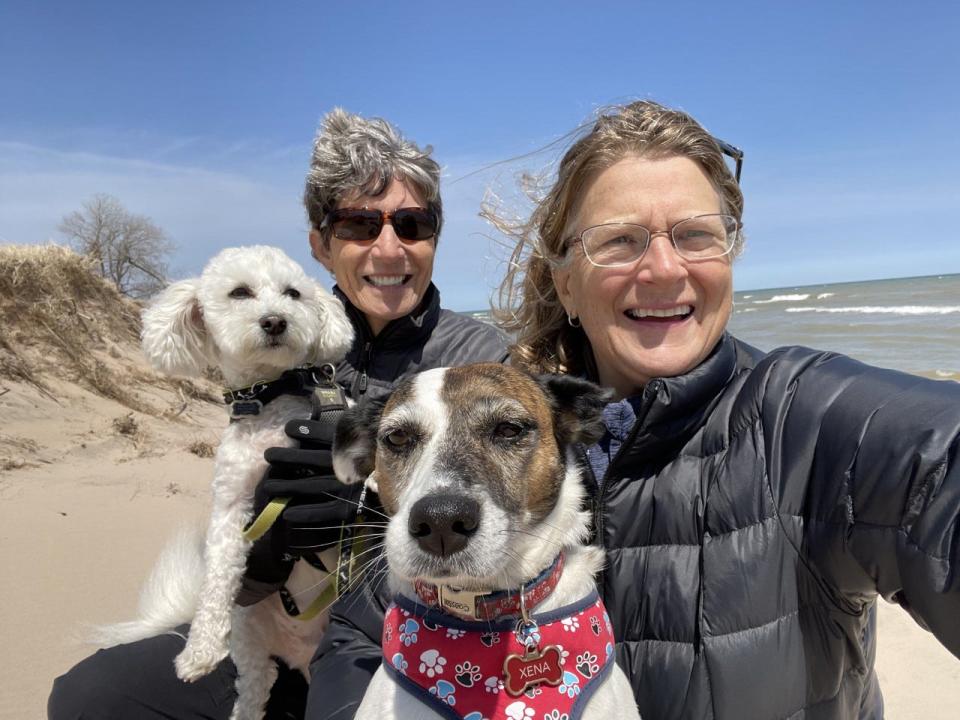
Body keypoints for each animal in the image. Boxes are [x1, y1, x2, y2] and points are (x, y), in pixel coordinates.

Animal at [98, 246, 352, 720]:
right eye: (240, 293)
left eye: (293, 293)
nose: (275, 321)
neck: (267, 403)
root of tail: (301, 651)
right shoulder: (232, 506)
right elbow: (218, 573)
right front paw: (198, 651)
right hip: (250, 637)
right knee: (254, 689)